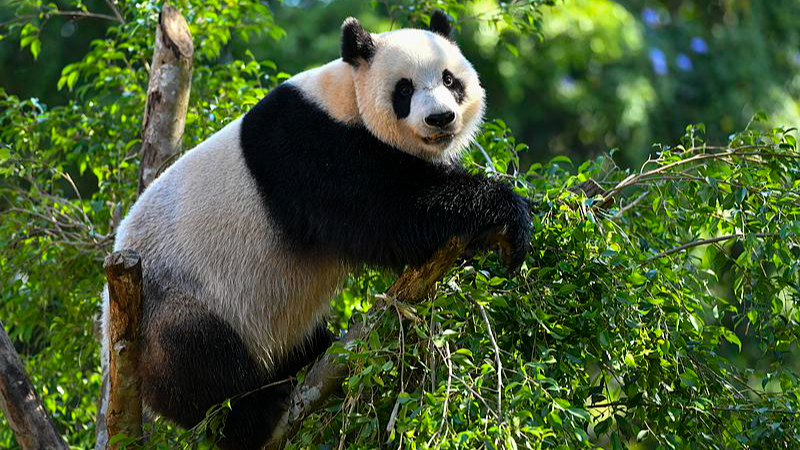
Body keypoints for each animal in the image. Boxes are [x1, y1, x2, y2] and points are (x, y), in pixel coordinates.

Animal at [101, 11, 530, 450]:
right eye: (404, 89)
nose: (440, 118)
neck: (347, 97)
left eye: (449, 79)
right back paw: (256, 413)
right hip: (179, 300)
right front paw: (504, 211)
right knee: (201, 364)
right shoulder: (310, 148)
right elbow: (386, 208)